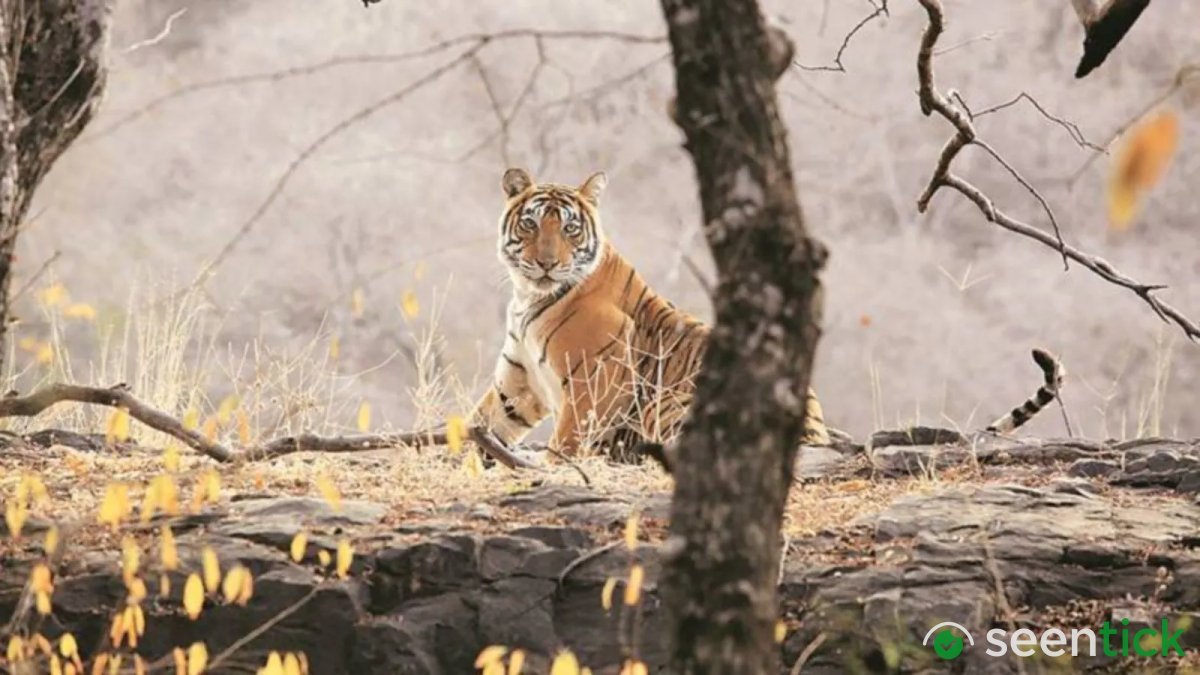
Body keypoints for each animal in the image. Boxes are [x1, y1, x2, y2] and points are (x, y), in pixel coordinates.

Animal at [469, 167, 832, 463]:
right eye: (530, 224)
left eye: (570, 228)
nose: (547, 263)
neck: (528, 296)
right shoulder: (520, 382)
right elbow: (482, 421)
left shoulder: (596, 381)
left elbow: (567, 441)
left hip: (669, 403)